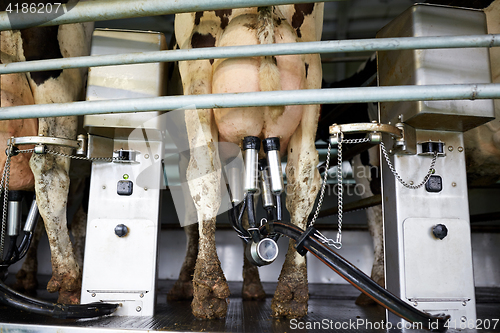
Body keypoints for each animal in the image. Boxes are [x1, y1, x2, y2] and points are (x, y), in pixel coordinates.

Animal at [173, 3, 324, 318]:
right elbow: (247, 210)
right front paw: (253, 283)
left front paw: (185, 284)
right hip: (312, 72)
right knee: (303, 176)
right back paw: (292, 291)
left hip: (196, 66)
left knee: (205, 171)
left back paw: (207, 290)